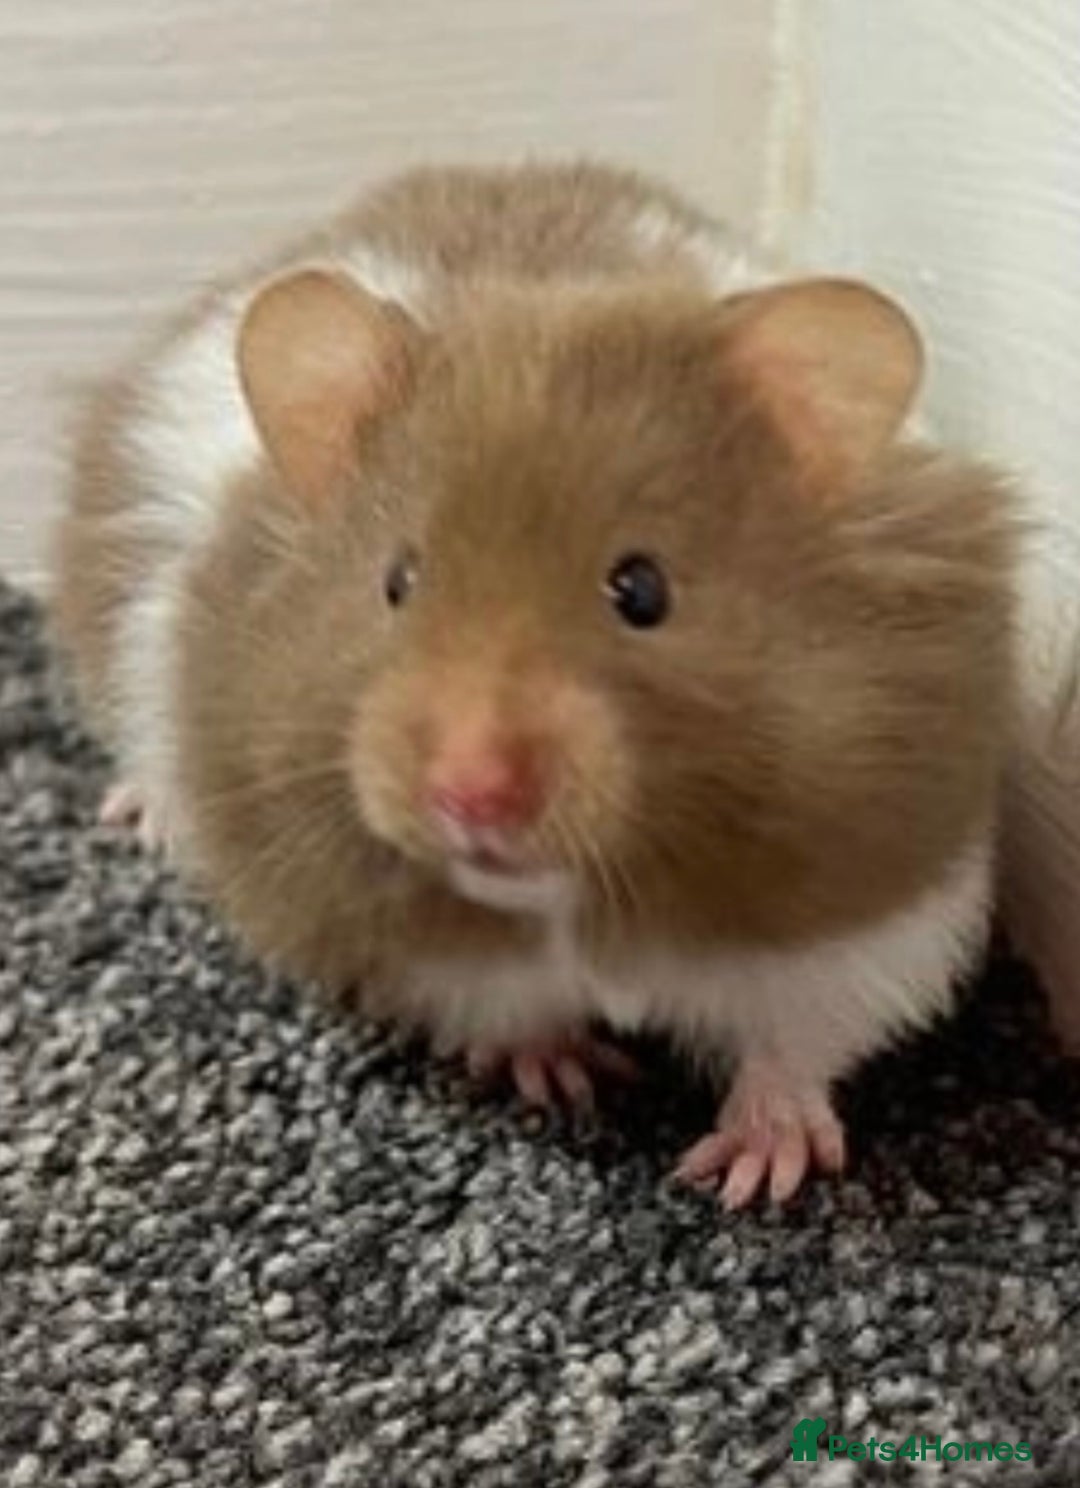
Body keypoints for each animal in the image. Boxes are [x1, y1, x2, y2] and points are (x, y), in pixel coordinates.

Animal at [53, 161, 1016, 1207]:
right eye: (398, 580)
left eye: (643, 589)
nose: (469, 795)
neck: (572, 897)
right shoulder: (412, 949)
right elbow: (506, 1011)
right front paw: (569, 1082)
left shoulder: (869, 915)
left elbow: (793, 1044)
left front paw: (750, 1177)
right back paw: (142, 815)